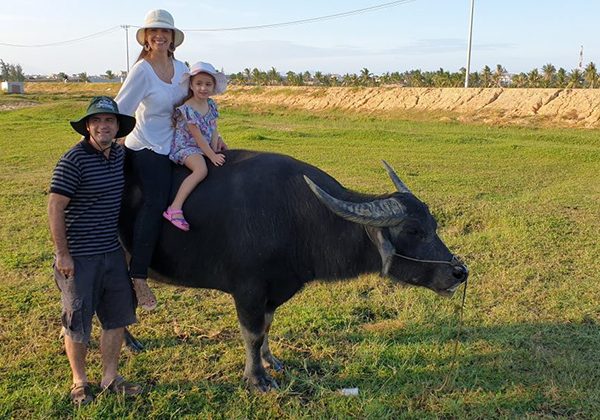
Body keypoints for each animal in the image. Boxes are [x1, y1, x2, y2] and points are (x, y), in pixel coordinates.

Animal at [120, 148, 468, 390]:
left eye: (433, 225)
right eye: (412, 231)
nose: (459, 272)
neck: (298, 217)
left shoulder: (274, 291)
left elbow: (267, 327)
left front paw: (271, 360)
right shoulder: (248, 291)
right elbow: (252, 333)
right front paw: (257, 379)